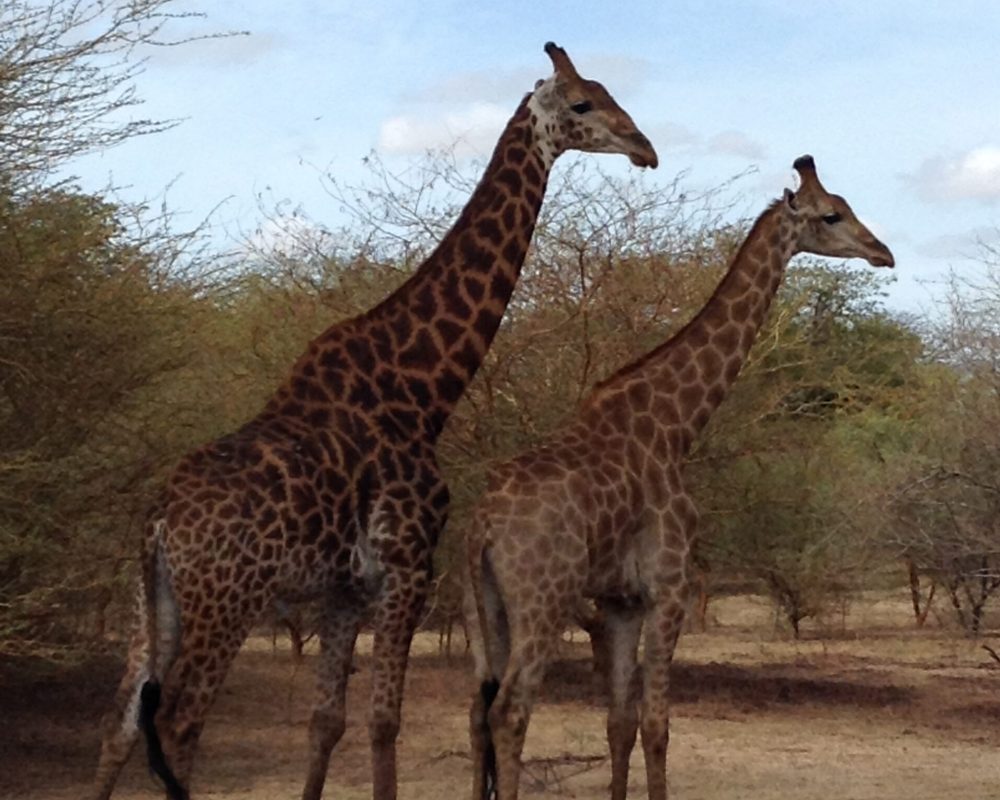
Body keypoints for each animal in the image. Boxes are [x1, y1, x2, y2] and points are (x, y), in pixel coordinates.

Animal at [89, 42, 658, 800]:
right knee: (178, 729)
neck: (422, 389)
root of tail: (157, 524)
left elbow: (326, 722)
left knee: (120, 726)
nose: (645, 147)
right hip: (226, 602)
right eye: (583, 103)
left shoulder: (344, 591)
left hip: (151, 605)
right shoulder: (407, 567)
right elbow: (384, 724)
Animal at [466, 155, 893, 800]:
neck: (675, 425)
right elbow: (658, 726)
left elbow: (618, 722)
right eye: (831, 215)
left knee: (478, 710)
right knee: (510, 710)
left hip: (485, 605)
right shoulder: (669, 586)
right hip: (542, 600)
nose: (882, 252)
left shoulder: (620, 601)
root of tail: (485, 524)